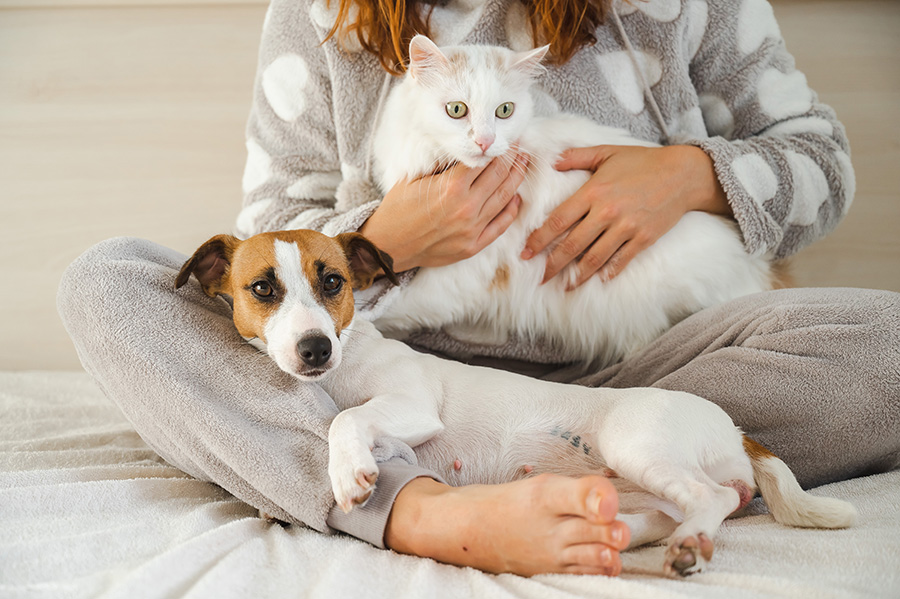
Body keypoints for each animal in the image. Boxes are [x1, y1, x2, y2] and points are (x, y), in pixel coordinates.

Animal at [176, 229, 856, 576]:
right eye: (262, 289)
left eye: (334, 282)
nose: (315, 348)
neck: (340, 369)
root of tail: (739, 432)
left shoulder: (413, 405)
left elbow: (350, 416)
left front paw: (349, 472)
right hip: (640, 491)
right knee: (665, 514)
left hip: (639, 445)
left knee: (712, 499)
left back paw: (688, 545)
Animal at [370, 35, 768, 368]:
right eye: (456, 109)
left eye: (504, 111)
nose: (485, 142)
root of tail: (755, 269)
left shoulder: (458, 279)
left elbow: (385, 312)